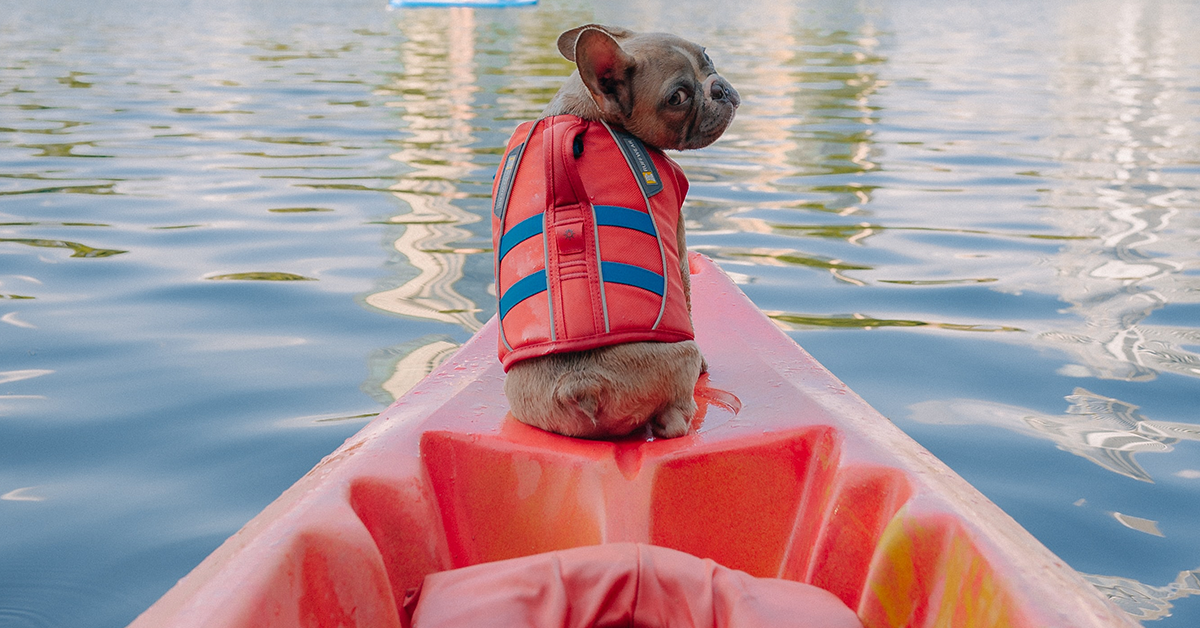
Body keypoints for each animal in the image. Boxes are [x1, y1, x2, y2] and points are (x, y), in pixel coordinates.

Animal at [489, 24, 734, 439]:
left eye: (708, 58)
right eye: (678, 98)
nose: (718, 87)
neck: (586, 110)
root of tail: (581, 384)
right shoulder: (678, 234)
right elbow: (687, 294)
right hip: (679, 357)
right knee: (674, 418)